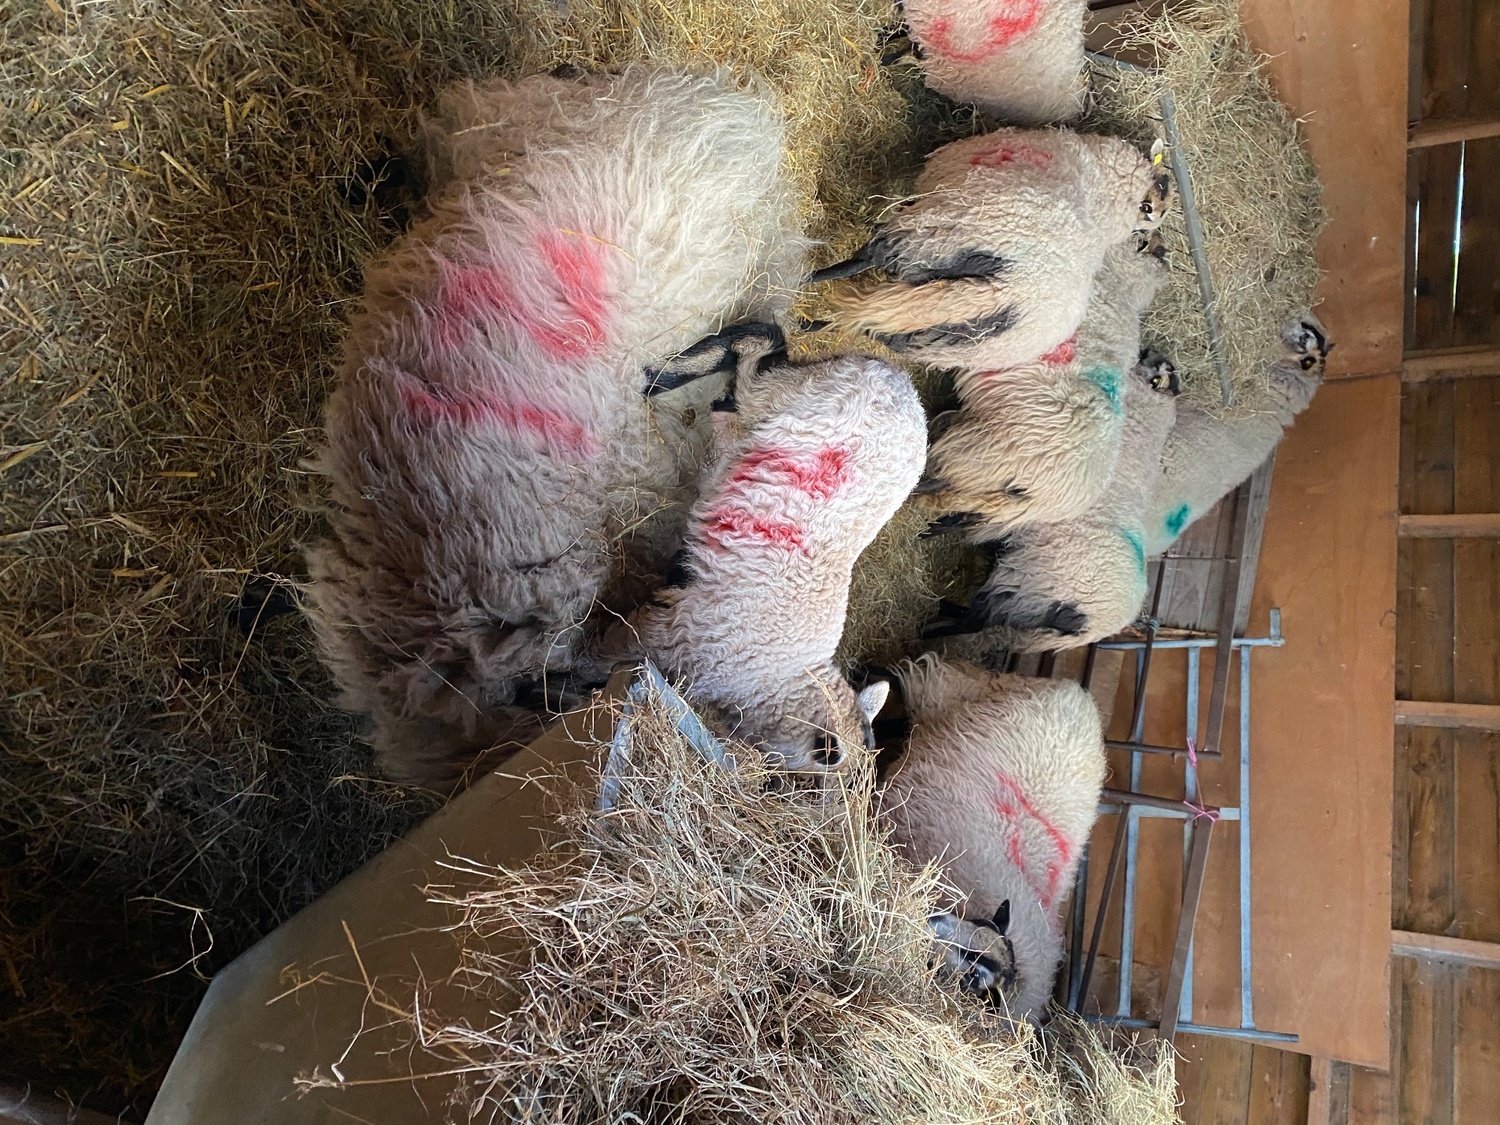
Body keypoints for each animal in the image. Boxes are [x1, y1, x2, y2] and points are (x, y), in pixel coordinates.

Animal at [613, 338, 928, 771]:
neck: (783, 679)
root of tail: (898, 379)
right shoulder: (666, 638)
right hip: (787, 394)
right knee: (755, 357)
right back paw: (679, 374)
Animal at [810, 128, 1172, 372]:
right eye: (1152, 205)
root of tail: (1010, 293)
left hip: (930, 234)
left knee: (861, 261)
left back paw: (807, 286)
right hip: (940, 340)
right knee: (871, 324)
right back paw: (810, 324)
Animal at [926, 350, 1180, 650]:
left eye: (1157, 379)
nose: (1149, 354)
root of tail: (1094, 626)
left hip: (1026, 583)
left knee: (973, 620)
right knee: (975, 623)